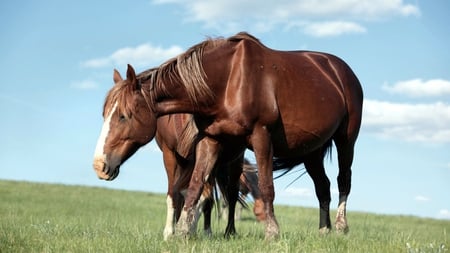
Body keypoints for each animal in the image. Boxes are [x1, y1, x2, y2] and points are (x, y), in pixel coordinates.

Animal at [93, 31, 364, 239]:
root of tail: (340, 70)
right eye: (106, 114)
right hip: (311, 150)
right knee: (323, 187)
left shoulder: (261, 136)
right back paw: (324, 230)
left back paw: (341, 226)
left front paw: (272, 232)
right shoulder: (211, 140)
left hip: (346, 140)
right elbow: (195, 187)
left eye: (123, 116)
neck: (227, 82)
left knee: (343, 180)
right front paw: (183, 232)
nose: (99, 165)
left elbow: (266, 186)